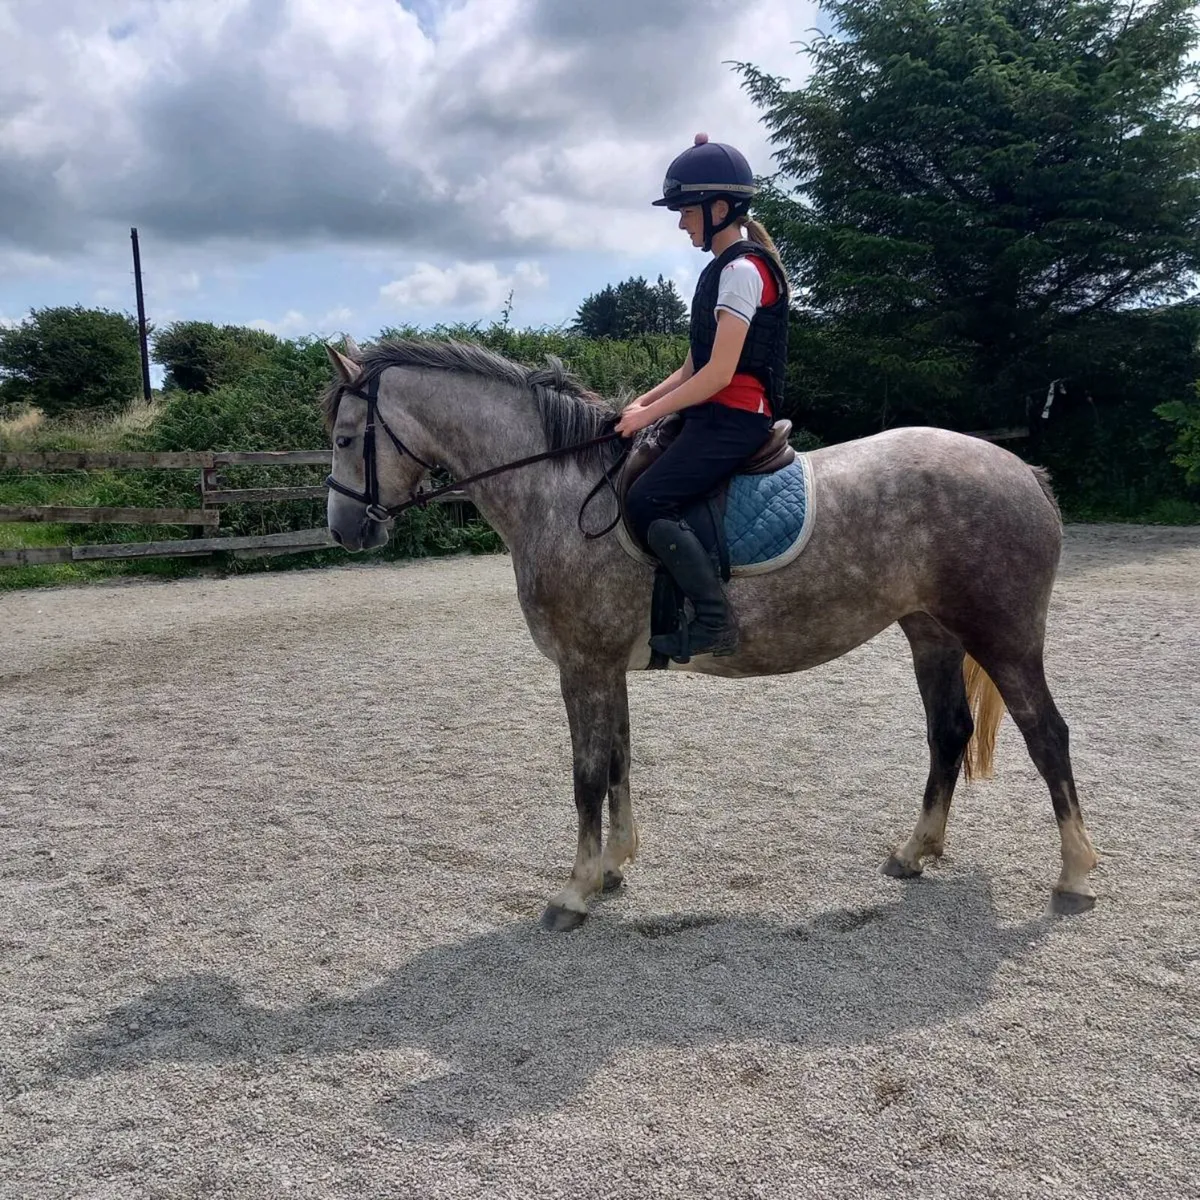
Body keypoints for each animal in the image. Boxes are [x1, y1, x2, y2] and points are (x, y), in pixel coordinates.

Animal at [320, 337, 1099, 931]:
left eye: (342, 438)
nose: (345, 529)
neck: (561, 492)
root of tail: (1019, 469)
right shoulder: (608, 668)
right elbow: (618, 762)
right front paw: (612, 867)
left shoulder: (582, 665)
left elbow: (585, 775)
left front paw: (574, 891)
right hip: (930, 631)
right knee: (948, 733)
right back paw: (916, 851)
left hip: (1004, 638)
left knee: (1047, 735)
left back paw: (1076, 876)